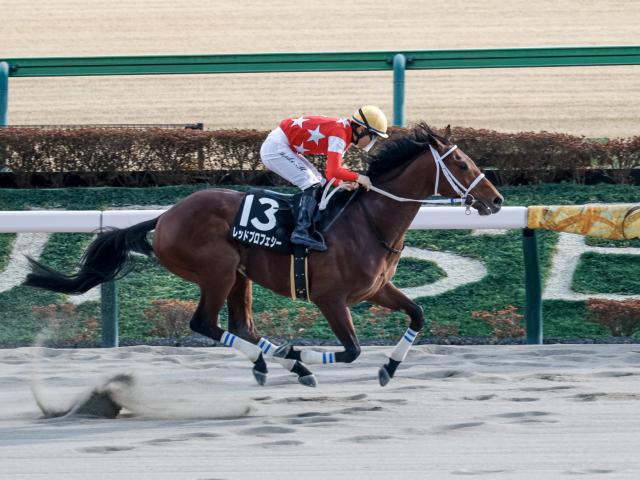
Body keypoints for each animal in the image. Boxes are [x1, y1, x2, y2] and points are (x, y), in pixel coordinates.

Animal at [24, 123, 503, 387]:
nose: (496, 201)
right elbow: (350, 350)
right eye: (461, 164)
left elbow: (417, 315)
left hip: (240, 274)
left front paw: (388, 368)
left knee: (241, 326)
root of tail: (165, 216)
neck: (370, 222)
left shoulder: (376, 290)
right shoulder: (331, 299)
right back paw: (290, 361)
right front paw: (304, 353)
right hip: (216, 271)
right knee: (205, 324)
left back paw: (278, 363)